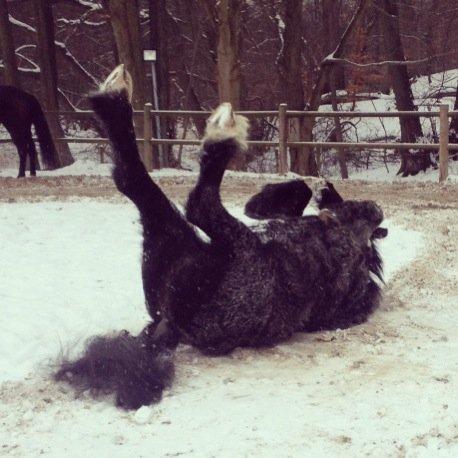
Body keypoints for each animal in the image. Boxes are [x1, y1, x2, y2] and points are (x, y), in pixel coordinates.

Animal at [56, 67, 386, 408]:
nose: (376, 209)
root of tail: (172, 326)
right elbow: (295, 192)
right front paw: (309, 191)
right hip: (169, 244)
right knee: (137, 183)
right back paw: (117, 98)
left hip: (221, 247)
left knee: (193, 200)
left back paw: (217, 133)